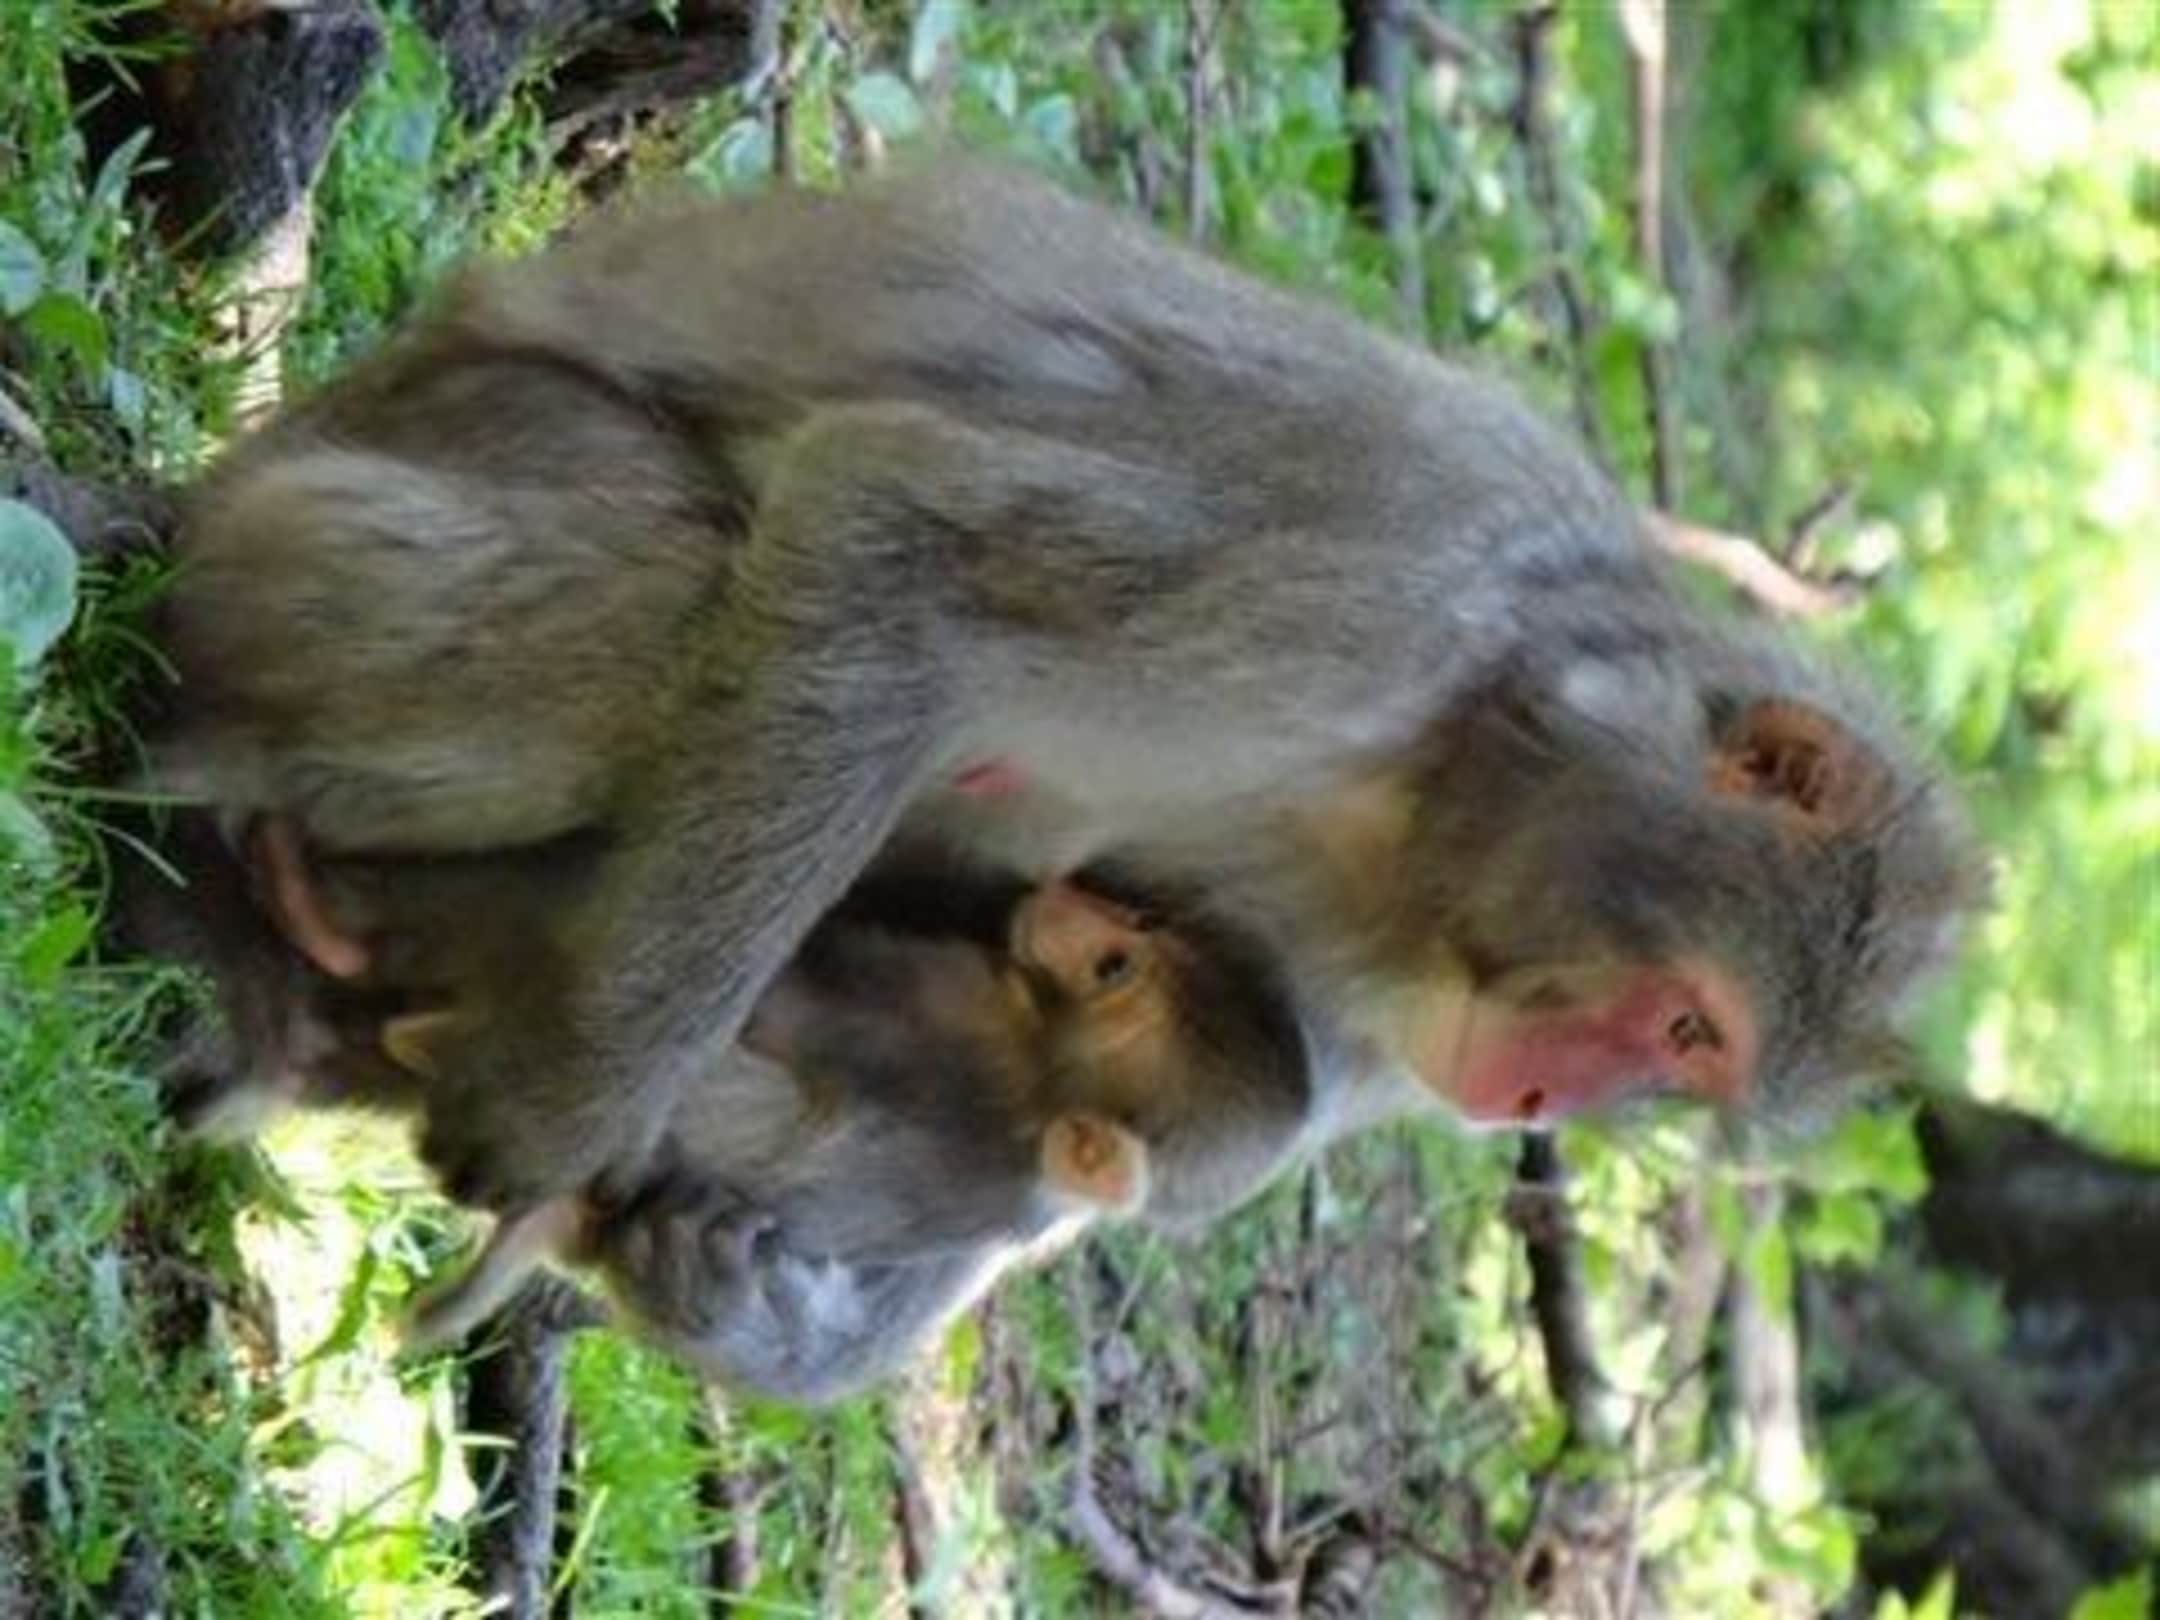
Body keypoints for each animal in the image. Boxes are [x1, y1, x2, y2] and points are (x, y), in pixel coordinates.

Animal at [142, 157, 1982, 1210]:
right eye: (1685, 1024)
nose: (1540, 1099)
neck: (1447, 783)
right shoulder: (1375, 595)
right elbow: (895, 542)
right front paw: (563, 1108)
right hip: (362, 480)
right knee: (665, 603)